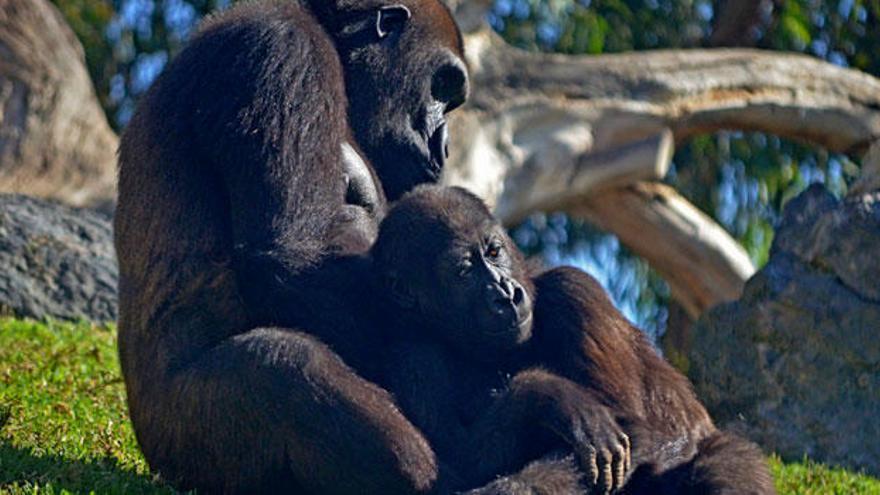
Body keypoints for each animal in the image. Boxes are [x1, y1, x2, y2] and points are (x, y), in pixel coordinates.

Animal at [118, 0, 468, 492]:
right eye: (440, 86)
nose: (445, 147)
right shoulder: (281, 48)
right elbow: (288, 252)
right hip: (179, 444)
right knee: (285, 365)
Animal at [372, 184, 776, 494]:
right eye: (463, 272)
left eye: (493, 251)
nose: (505, 295)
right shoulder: (412, 354)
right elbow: (458, 461)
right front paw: (545, 393)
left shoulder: (576, 291)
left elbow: (635, 427)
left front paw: (516, 488)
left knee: (724, 459)